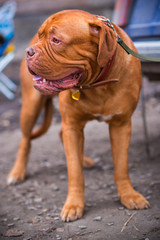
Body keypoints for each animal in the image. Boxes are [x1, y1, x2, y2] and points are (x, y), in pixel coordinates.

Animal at [7, 10, 150, 222]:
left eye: (56, 40)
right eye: (41, 36)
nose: (28, 51)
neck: (97, 83)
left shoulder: (121, 124)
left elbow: (121, 165)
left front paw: (128, 195)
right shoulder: (72, 125)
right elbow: (74, 171)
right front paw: (74, 204)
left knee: (61, 136)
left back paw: (84, 159)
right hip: (30, 107)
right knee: (25, 140)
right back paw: (17, 172)